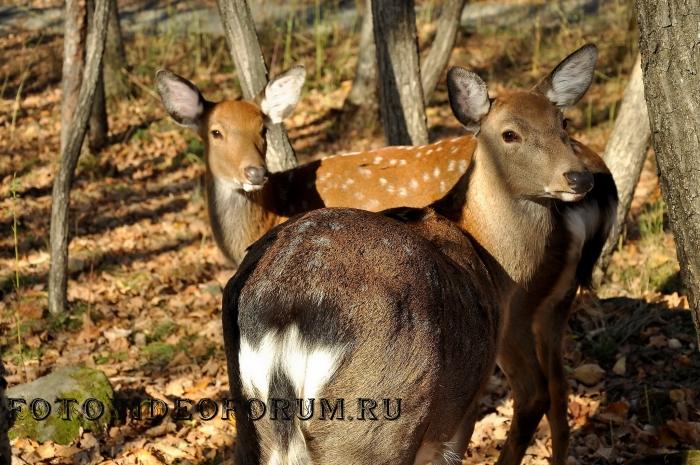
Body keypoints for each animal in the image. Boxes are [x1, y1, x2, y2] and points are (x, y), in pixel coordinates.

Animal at [221, 43, 616, 464]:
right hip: (379, 417)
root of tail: (285, 313)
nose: (579, 177)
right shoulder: (461, 414)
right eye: (510, 134)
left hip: (251, 424)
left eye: (563, 123)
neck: (489, 257)